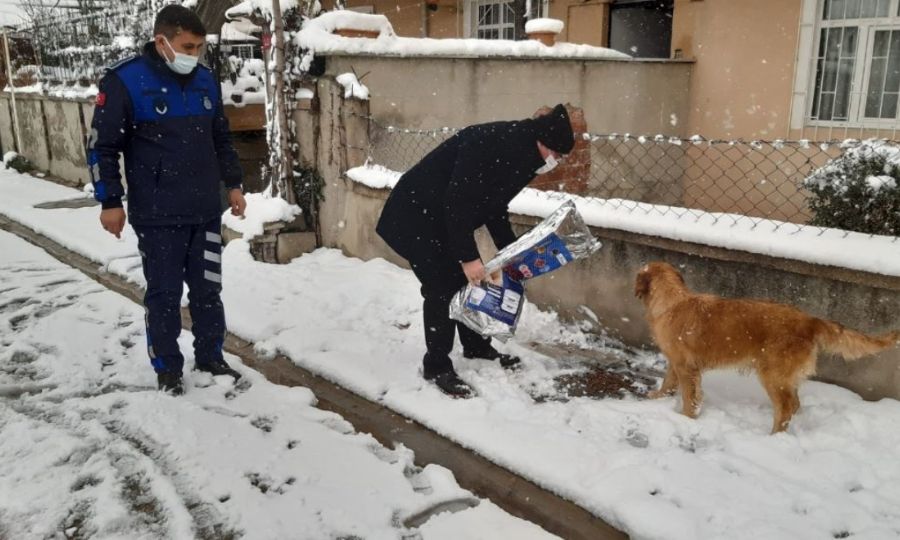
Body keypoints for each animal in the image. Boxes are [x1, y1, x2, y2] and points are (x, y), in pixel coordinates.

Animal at [636, 262, 896, 434]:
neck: (672, 301)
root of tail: (810, 320)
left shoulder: (686, 366)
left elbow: (689, 396)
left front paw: (686, 418)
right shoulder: (676, 362)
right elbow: (668, 383)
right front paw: (659, 397)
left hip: (772, 375)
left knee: (786, 407)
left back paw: (774, 436)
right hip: (785, 377)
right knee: (794, 404)